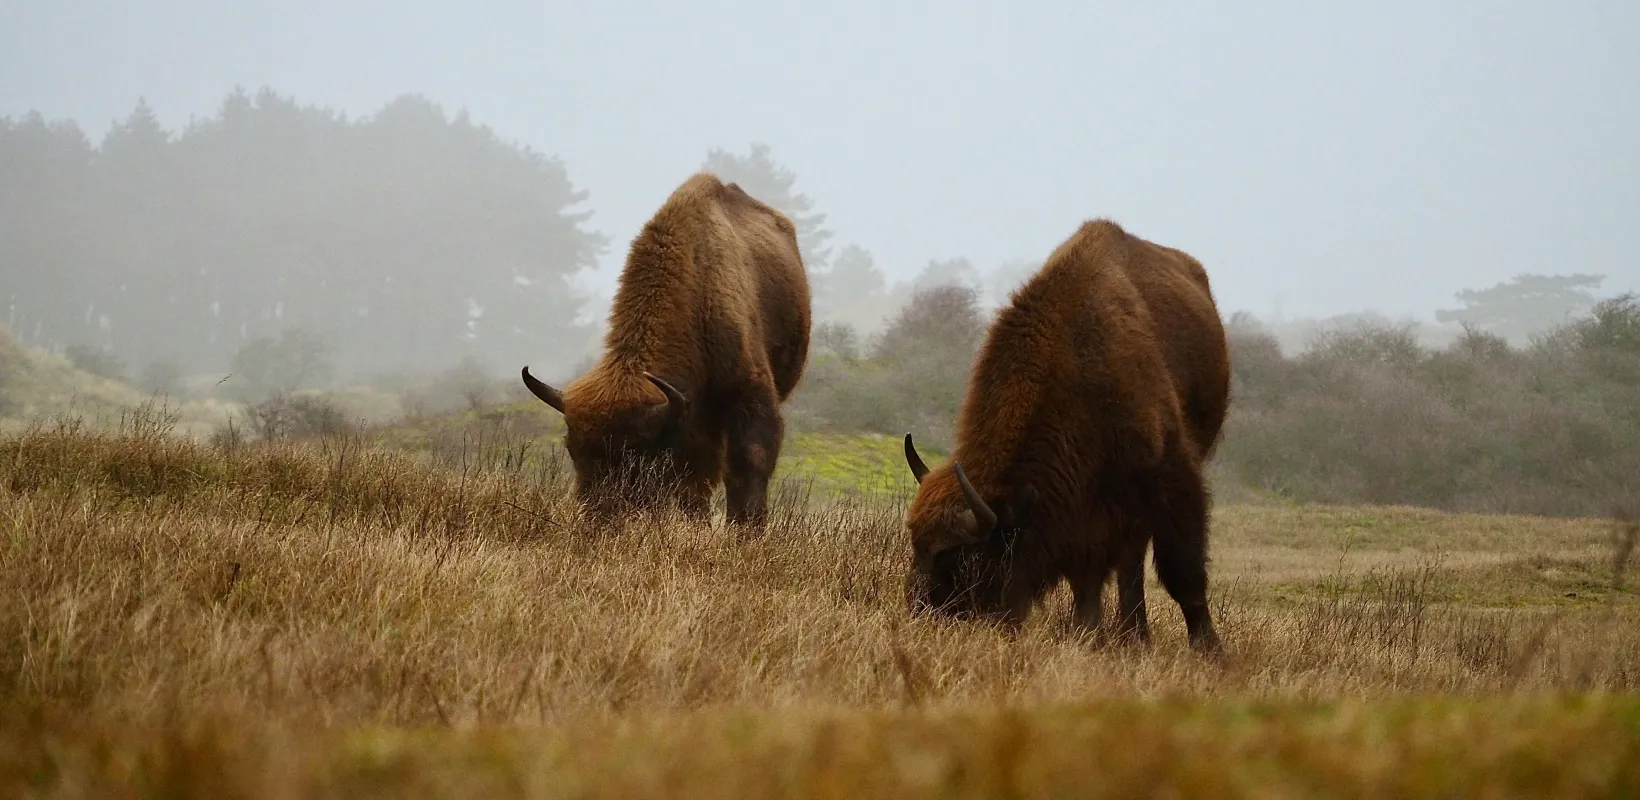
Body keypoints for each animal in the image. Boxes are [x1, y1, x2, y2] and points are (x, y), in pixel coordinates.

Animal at [522, 172, 811, 528]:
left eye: (635, 455)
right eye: (572, 449)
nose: (598, 520)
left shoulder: (748, 396)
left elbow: (748, 463)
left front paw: (746, 530)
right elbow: (693, 478)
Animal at [901, 219, 1230, 654]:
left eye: (959, 557)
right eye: (916, 545)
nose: (920, 615)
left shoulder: (1169, 478)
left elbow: (1182, 571)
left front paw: (1211, 651)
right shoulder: (1083, 507)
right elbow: (1087, 576)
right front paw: (1087, 633)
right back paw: (1131, 635)